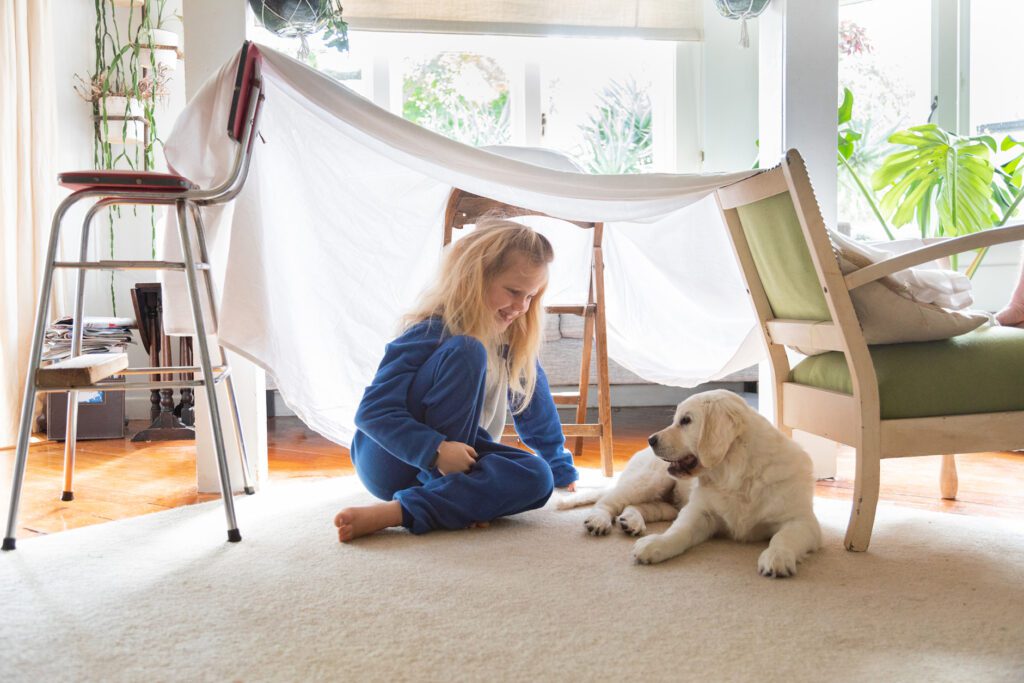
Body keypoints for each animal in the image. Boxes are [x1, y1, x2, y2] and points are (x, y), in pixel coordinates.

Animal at [557, 389, 819, 577]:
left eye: (686, 420)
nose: (651, 439)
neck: (735, 475)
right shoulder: (700, 512)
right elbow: (679, 532)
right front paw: (656, 544)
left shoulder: (802, 521)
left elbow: (783, 537)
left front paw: (777, 557)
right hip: (650, 480)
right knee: (609, 500)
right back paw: (599, 520)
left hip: (666, 504)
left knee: (636, 506)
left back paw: (631, 522)